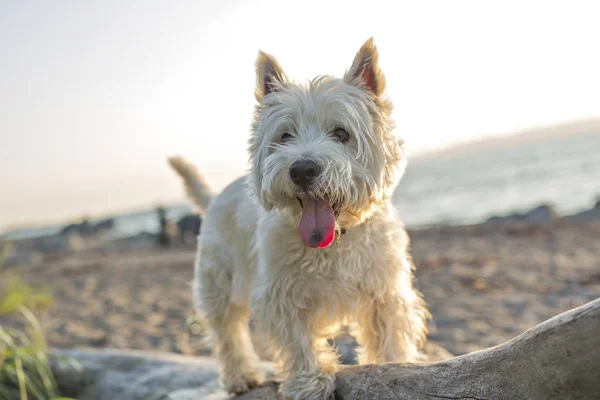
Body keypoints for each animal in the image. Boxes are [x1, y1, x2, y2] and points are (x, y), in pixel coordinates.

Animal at [169, 37, 428, 400]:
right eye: (285, 135)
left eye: (341, 133)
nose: (302, 169)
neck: (335, 241)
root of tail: (216, 196)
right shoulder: (281, 294)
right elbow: (298, 341)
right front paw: (309, 383)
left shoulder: (384, 289)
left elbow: (388, 333)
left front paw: (393, 366)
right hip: (218, 280)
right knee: (227, 330)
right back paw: (241, 376)